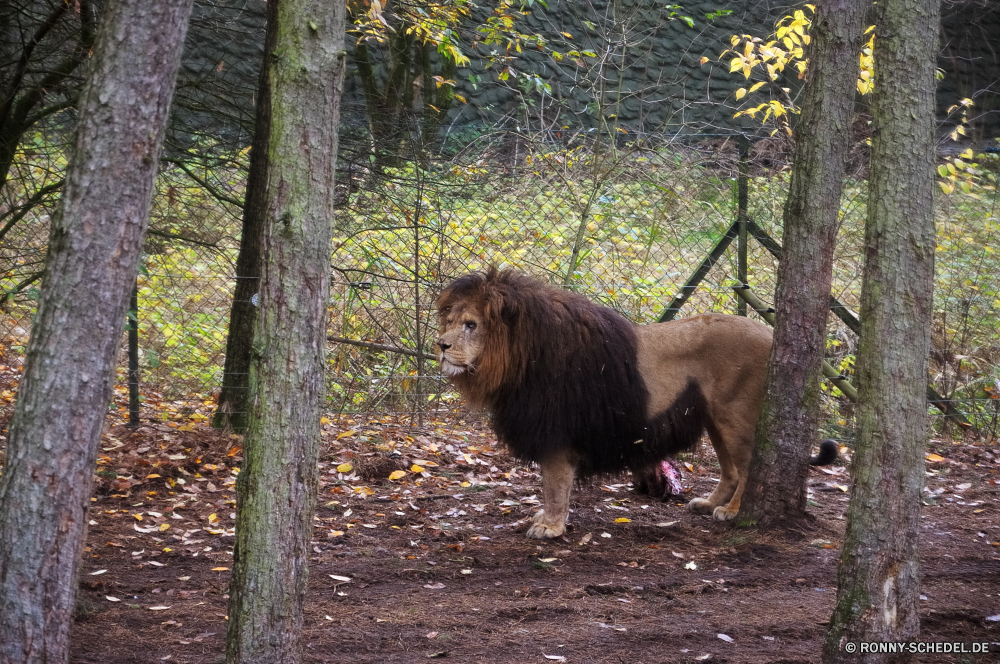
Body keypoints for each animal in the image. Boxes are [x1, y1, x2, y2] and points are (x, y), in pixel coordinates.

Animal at [438, 270, 836, 540]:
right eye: (450, 321)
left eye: (471, 325)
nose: (440, 345)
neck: (519, 359)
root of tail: (770, 333)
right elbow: (551, 485)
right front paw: (546, 520)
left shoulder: (557, 434)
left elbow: (555, 484)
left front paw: (550, 526)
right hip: (714, 418)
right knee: (732, 470)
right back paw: (708, 504)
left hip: (734, 414)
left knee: (749, 466)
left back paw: (731, 511)